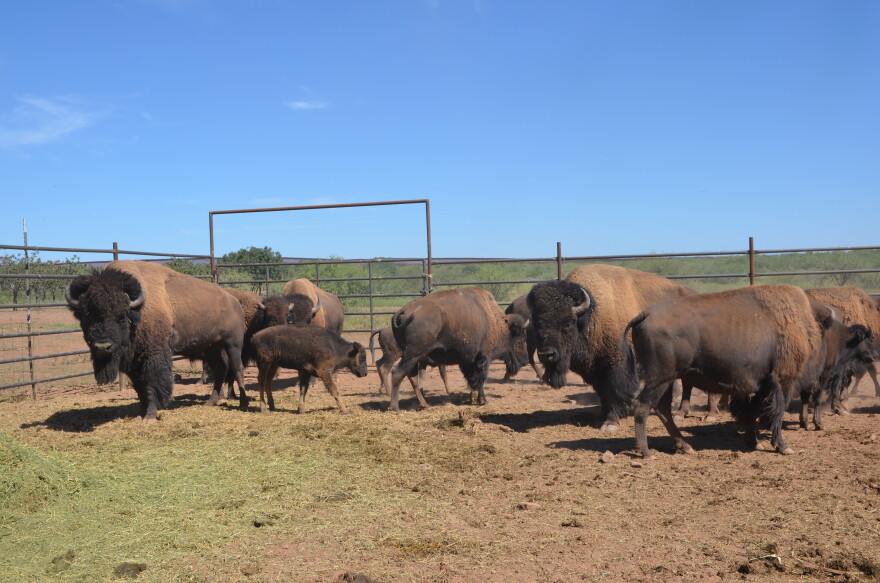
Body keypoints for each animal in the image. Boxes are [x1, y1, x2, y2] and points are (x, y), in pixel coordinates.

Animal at [65, 260, 248, 421]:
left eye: (121, 316)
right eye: (86, 315)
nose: (103, 347)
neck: (137, 311)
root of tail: (234, 302)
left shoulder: (153, 356)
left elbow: (152, 386)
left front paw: (150, 417)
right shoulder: (133, 362)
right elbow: (140, 389)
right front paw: (140, 412)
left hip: (232, 344)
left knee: (237, 369)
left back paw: (243, 403)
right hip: (210, 348)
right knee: (220, 369)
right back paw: (210, 403)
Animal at [389, 287, 528, 411]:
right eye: (521, 338)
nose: (526, 361)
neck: (495, 321)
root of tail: (403, 311)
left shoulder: (468, 360)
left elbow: (471, 379)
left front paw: (472, 399)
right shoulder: (483, 357)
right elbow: (481, 379)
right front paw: (483, 401)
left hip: (412, 356)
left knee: (412, 377)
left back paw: (424, 405)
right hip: (413, 354)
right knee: (397, 373)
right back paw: (395, 408)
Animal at [526, 264, 695, 432]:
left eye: (567, 324)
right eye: (537, 324)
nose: (546, 354)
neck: (592, 315)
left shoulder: (616, 366)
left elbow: (612, 392)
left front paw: (611, 423)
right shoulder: (595, 371)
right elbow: (603, 394)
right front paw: (602, 417)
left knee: (687, 383)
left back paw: (680, 413)